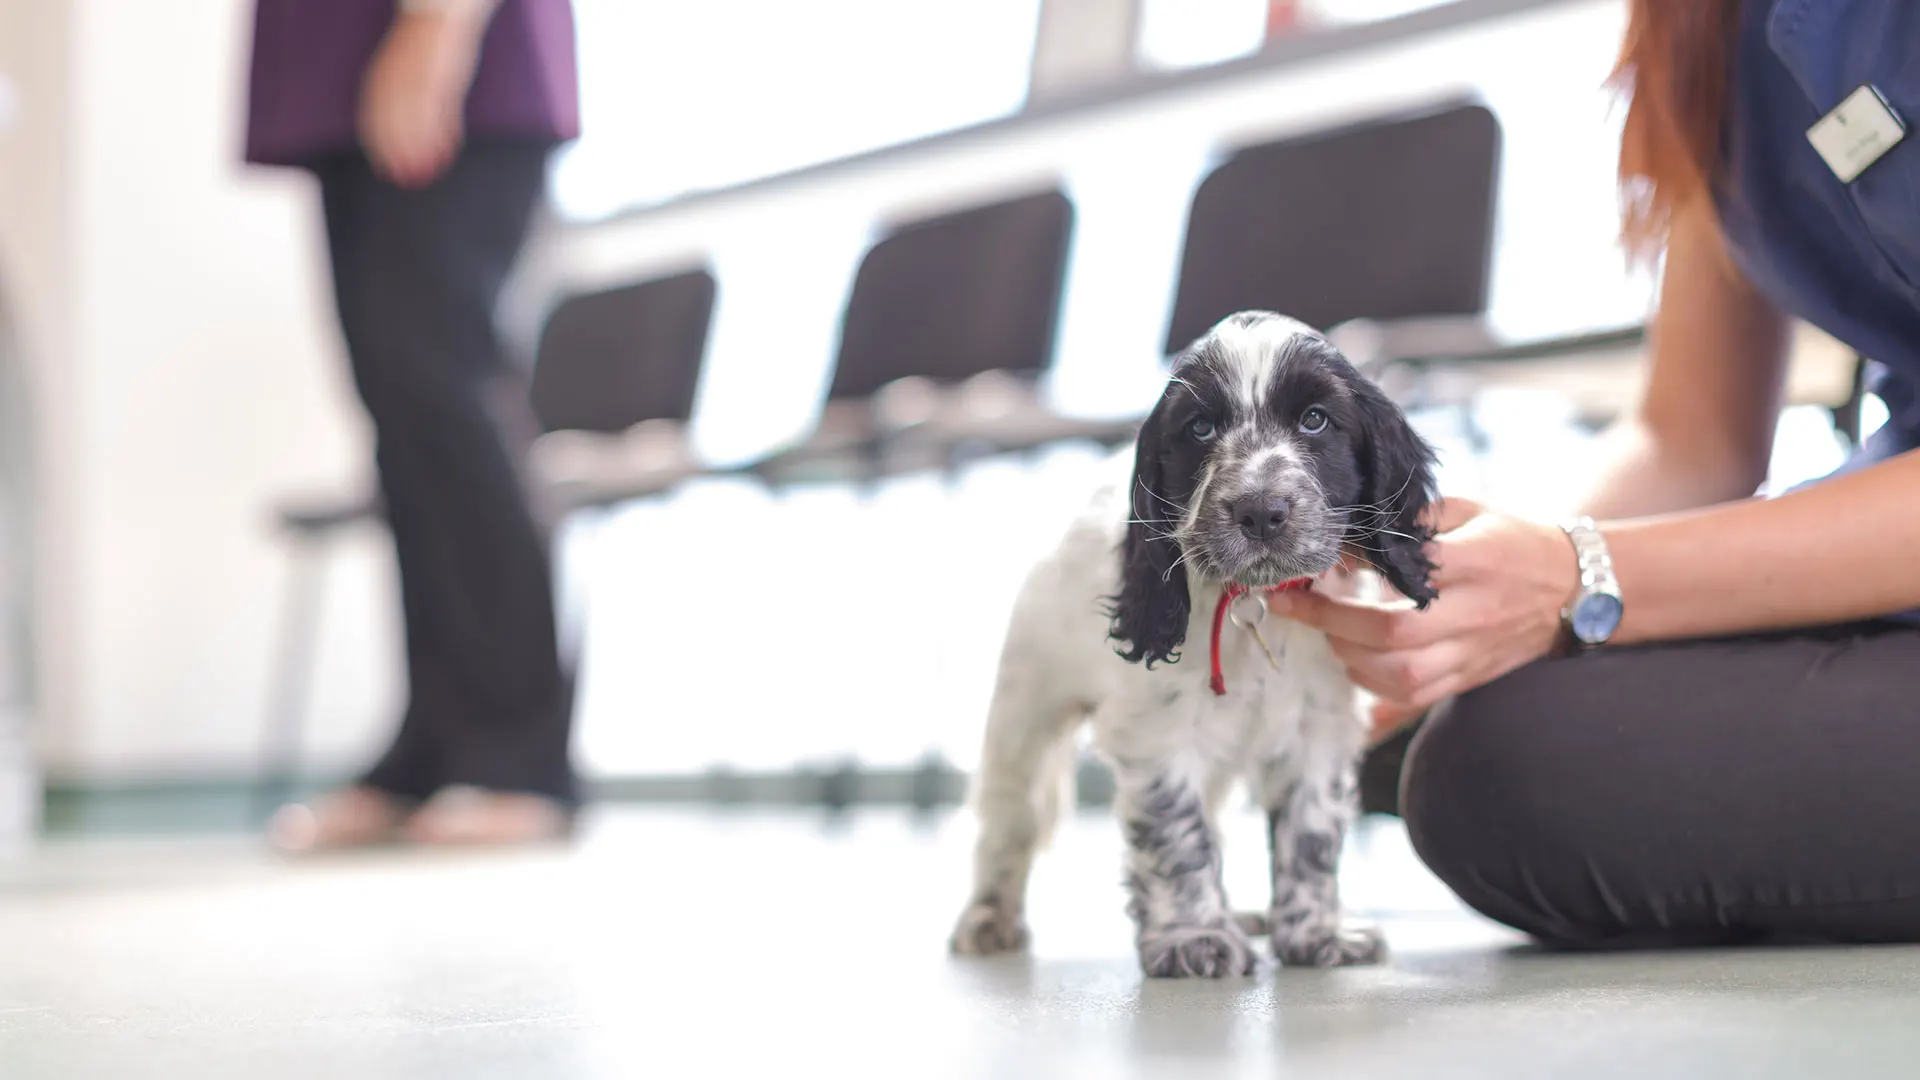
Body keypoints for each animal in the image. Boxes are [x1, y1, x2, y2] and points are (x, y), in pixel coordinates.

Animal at [952, 309, 1436, 976]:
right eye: (1200, 427)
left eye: (1315, 419)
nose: (1261, 511)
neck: (1256, 603)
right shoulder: (1158, 737)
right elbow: (1177, 834)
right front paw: (1194, 937)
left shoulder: (1321, 726)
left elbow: (1311, 833)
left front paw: (1316, 931)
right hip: (1026, 713)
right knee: (1010, 819)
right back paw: (988, 918)